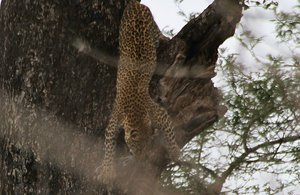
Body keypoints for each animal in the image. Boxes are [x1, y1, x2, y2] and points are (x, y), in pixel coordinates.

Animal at [98, 0, 180, 185]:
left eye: (148, 147)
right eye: (137, 148)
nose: (141, 159)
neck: (135, 112)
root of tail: (135, 5)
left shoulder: (158, 113)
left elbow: (170, 133)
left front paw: (175, 152)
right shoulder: (115, 119)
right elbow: (108, 144)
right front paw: (107, 171)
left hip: (151, 26)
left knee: (157, 32)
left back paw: (164, 38)